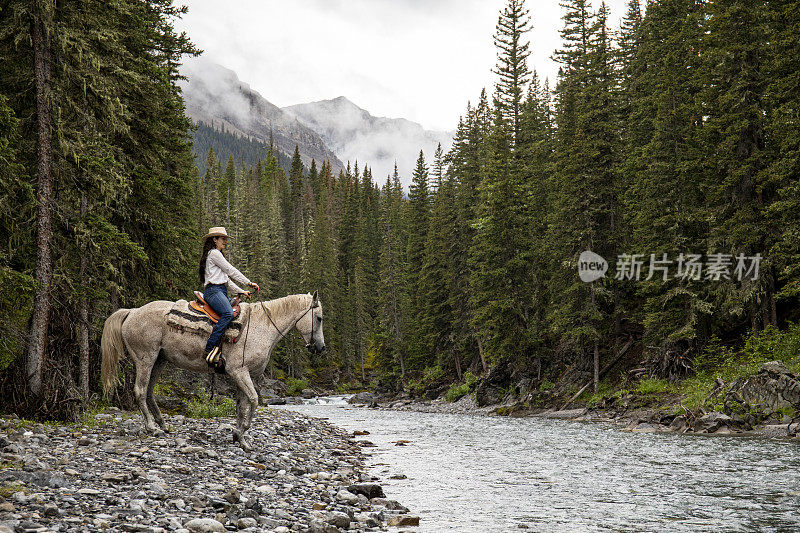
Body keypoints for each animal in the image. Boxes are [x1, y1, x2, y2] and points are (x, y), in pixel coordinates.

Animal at [101, 290, 324, 448]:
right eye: (319, 318)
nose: (320, 348)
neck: (261, 328)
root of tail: (132, 311)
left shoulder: (245, 375)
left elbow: (241, 406)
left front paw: (240, 438)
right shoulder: (239, 371)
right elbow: (253, 400)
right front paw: (242, 433)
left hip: (159, 360)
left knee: (148, 391)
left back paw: (163, 425)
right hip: (145, 358)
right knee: (140, 390)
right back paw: (152, 428)